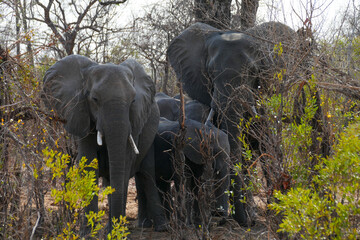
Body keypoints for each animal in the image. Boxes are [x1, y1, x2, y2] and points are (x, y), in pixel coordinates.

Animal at [41, 55, 167, 232]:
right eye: (94, 99)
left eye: (133, 101)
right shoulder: (81, 113)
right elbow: (89, 161)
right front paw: (88, 232)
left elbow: (125, 163)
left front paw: (117, 231)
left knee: (146, 174)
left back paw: (159, 227)